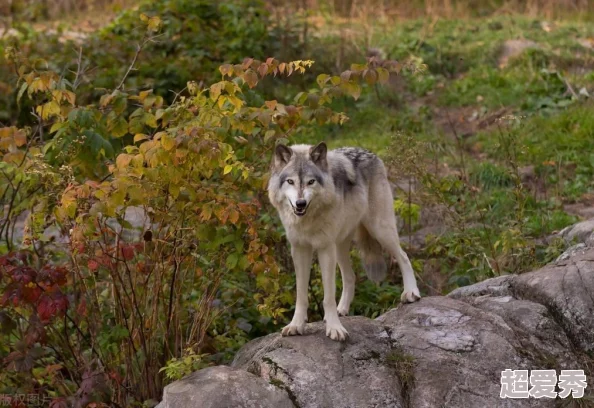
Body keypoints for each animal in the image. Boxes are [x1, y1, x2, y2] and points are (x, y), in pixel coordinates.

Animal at [266, 141, 418, 342]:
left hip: (379, 230)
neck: (308, 220)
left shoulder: (325, 248)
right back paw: (342, 309)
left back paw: (411, 293)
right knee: (350, 276)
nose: (300, 203)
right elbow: (301, 295)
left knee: (404, 256)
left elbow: (328, 296)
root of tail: (370, 153)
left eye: (311, 182)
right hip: (340, 246)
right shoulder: (299, 249)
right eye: (290, 181)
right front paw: (296, 325)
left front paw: (334, 328)